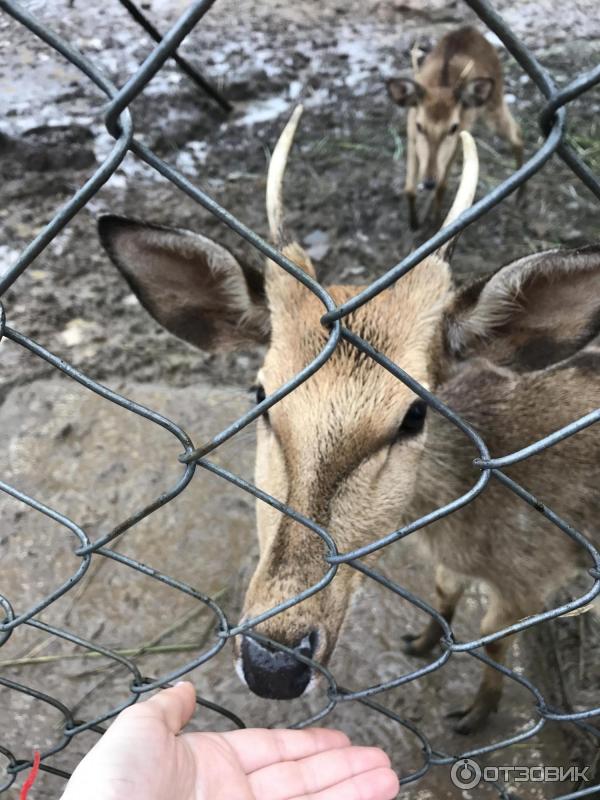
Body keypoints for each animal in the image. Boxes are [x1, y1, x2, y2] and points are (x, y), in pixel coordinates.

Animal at [98, 108, 600, 736]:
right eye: (260, 393)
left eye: (415, 413)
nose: (273, 663)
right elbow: (442, 595)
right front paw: (422, 643)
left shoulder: (530, 578)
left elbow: (492, 644)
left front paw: (473, 717)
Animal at [386, 25, 524, 230]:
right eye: (419, 125)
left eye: (453, 127)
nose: (428, 182)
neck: (441, 85)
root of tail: (471, 29)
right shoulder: (410, 137)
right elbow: (409, 188)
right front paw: (414, 223)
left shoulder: (458, 141)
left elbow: (442, 187)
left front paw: (436, 223)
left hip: (495, 100)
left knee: (516, 132)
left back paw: (520, 195)